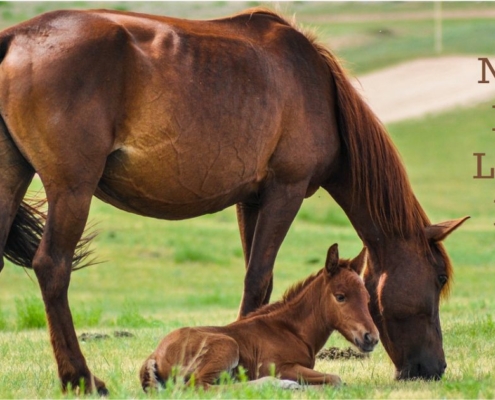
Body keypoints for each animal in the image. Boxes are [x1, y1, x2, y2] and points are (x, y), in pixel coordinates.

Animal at [140, 244, 380, 390]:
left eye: (367, 297)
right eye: (340, 296)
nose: (371, 338)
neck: (291, 330)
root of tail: (154, 355)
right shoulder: (280, 366)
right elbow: (335, 378)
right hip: (226, 346)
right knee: (202, 387)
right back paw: (278, 384)